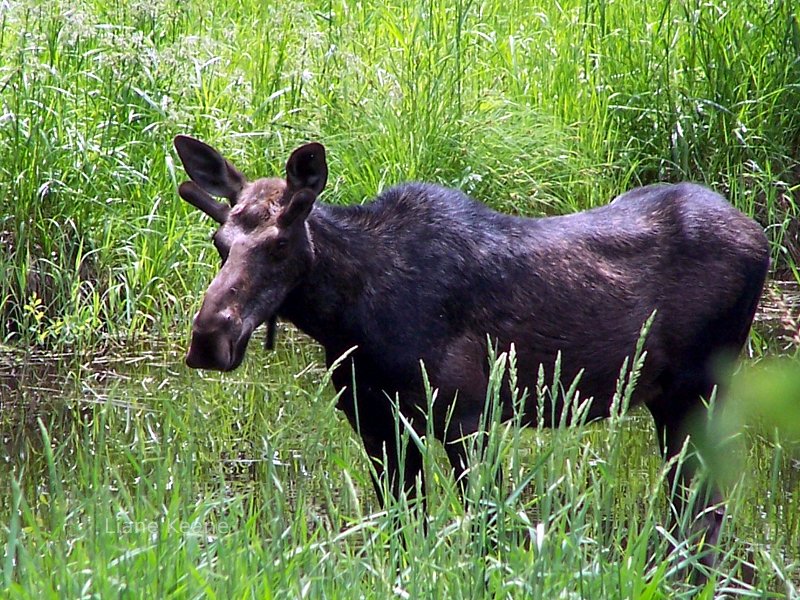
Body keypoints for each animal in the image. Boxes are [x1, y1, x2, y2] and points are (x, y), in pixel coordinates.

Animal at [173, 136, 768, 568]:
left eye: (278, 244)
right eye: (219, 243)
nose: (209, 337)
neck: (348, 318)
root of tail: (760, 236)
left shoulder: (469, 415)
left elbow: (488, 529)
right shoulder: (373, 420)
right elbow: (404, 529)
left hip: (703, 387)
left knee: (706, 509)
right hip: (672, 399)